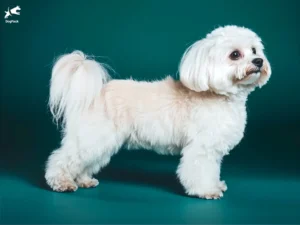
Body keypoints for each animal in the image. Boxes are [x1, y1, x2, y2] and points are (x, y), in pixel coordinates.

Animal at [45, 25, 272, 200]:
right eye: (235, 54)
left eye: (254, 50)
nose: (259, 61)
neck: (219, 95)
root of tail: (94, 93)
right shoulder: (201, 148)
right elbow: (200, 171)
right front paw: (207, 191)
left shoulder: (213, 150)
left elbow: (213, 170)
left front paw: (216, 185)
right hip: (93, 137)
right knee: (63, 158)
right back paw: (61, 182)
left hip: (101, 141)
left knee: (84, 162)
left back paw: (83, 180)